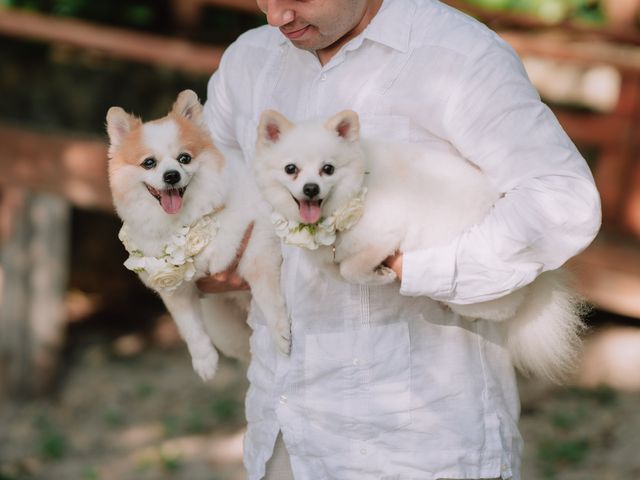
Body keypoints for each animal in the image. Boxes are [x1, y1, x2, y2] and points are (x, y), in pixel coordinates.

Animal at [107, 91, 290, 382]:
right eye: (149, 163)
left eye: (184, 158)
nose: (171, 175)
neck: (190, 222)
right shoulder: (175, 289)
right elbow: (189, 327)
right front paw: (204, 360)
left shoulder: (258, 249)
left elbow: (268, 297)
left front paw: (280, 332)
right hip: (227, 331)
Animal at [254, 109, 584, 382]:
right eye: (291, 169)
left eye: (328, 169)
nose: (311, 188)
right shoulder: (329, 256)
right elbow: (334, 269)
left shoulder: (389, 231)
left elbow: (350, 268)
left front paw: (378, 275)